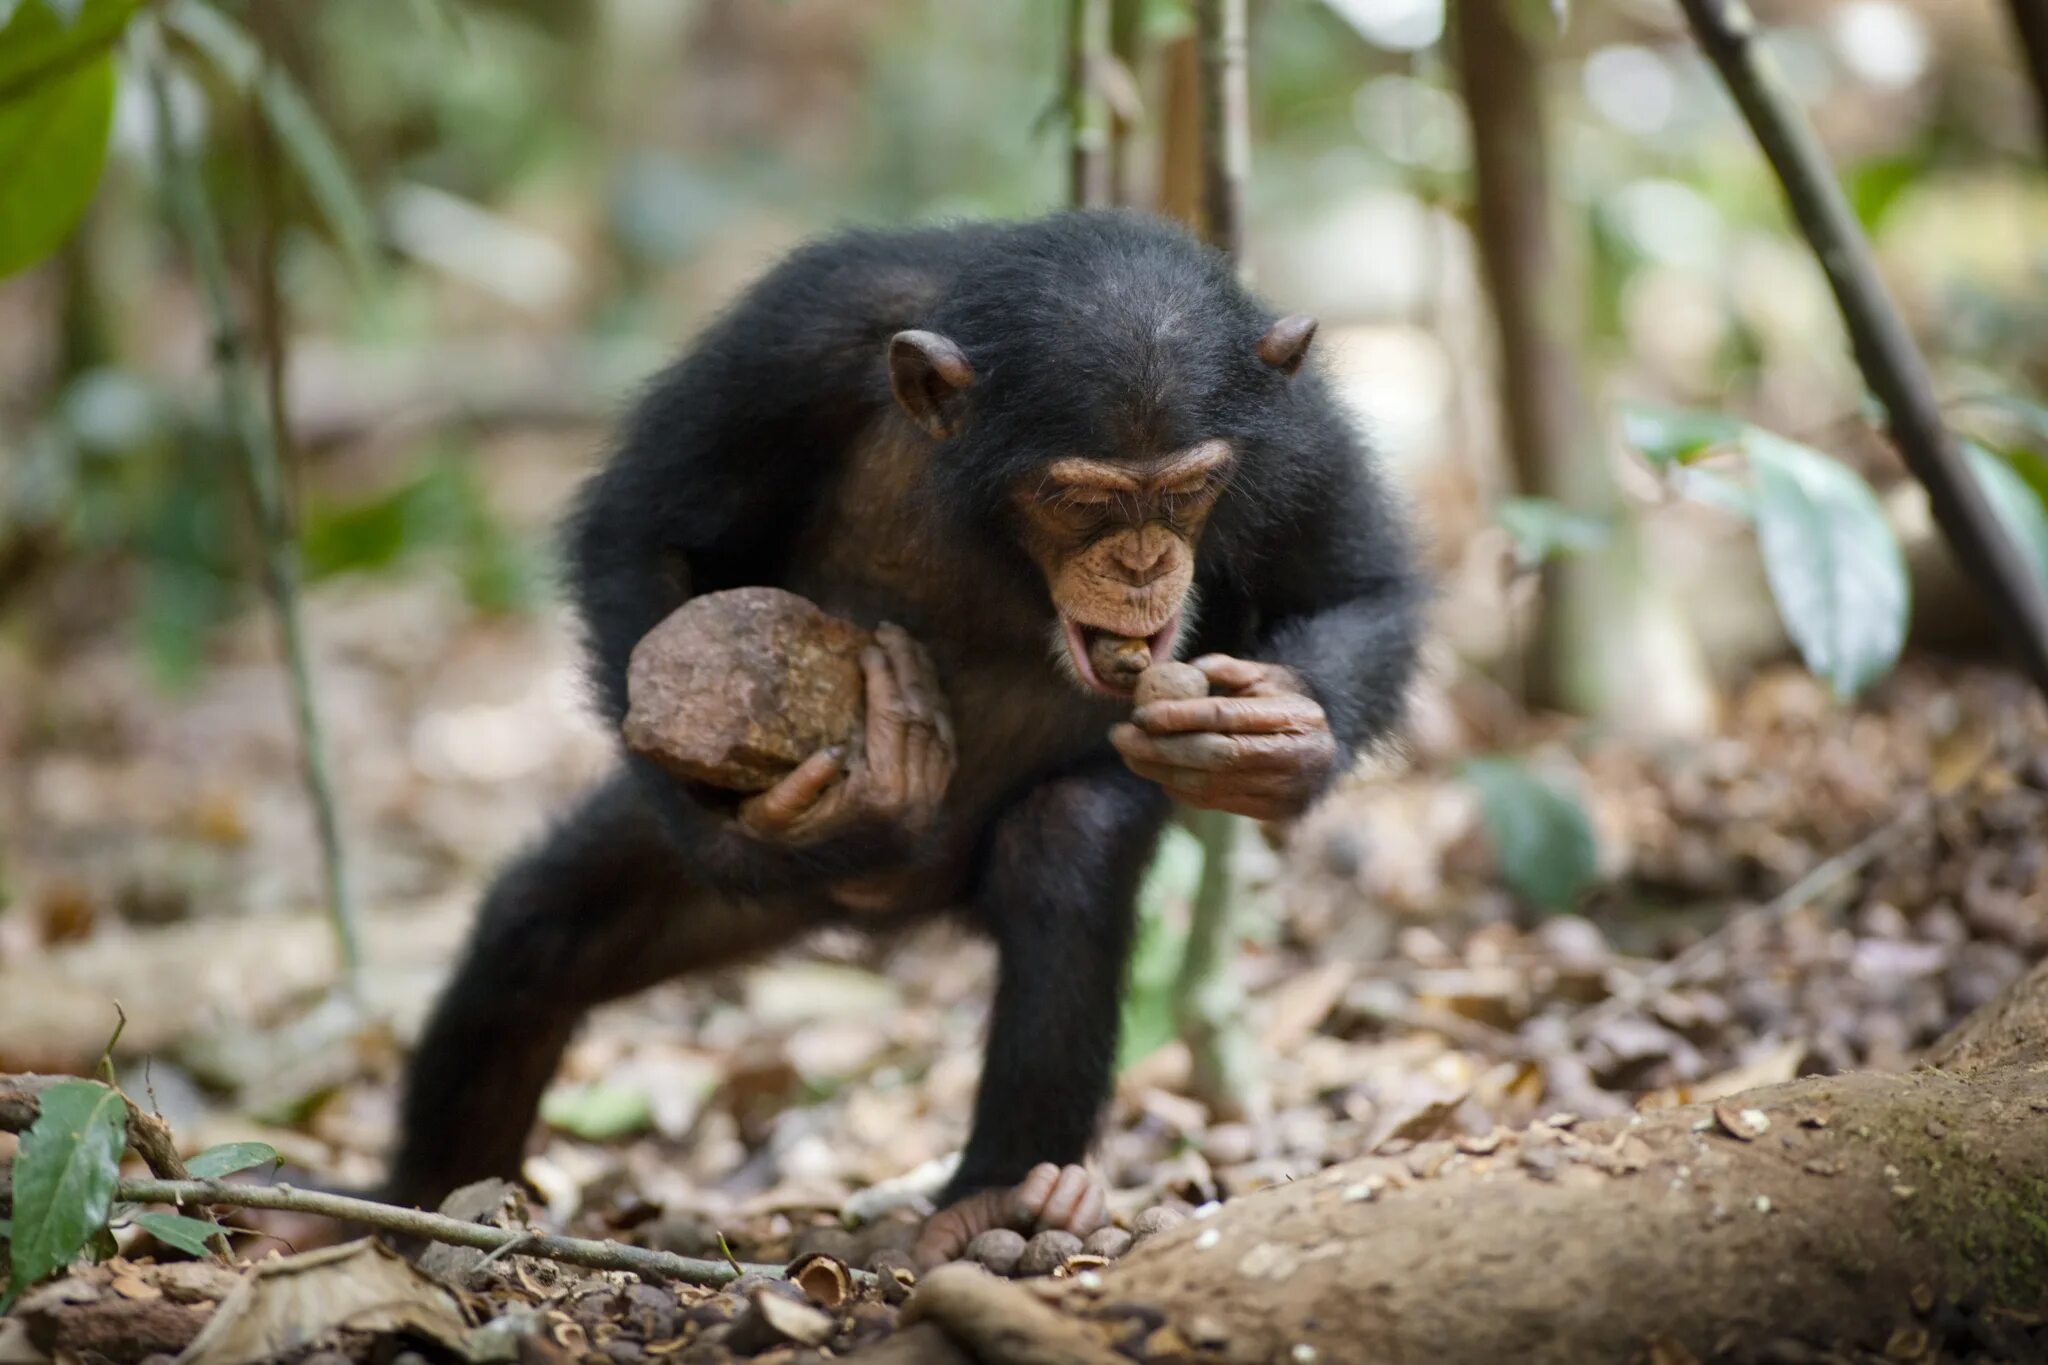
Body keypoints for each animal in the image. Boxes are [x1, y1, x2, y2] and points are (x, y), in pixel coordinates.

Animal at [395, 208, 1425, 1268]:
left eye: (1188, 489)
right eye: (1083, 500)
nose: (1142, 563)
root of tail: (887, 906)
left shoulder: (1297, 426)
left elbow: (1356, 586)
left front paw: (1278, 735)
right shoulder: (794, 337)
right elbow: (645, 530)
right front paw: (747, 825)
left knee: (1066, 849)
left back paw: (999, 1197)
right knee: (533, 944)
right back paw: (421, 1216)